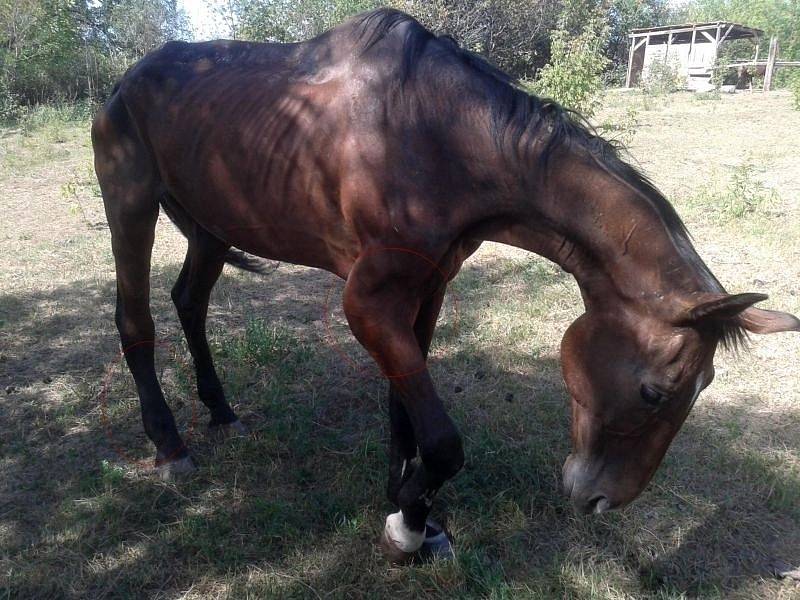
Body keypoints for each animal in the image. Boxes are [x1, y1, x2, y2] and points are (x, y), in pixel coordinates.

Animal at [90, 9, 796, 564]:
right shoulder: (366, 303)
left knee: (190, 303)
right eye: (656, 392)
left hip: (212, 226)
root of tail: (123, 83)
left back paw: (221, 411)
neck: (439, 137)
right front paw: (405, 529)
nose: (602, 500)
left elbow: (405, 411)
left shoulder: (426, 291)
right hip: (131, 207)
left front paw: (410, 507)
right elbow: (443, 441)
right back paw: (169, 446)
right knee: (136, 321)